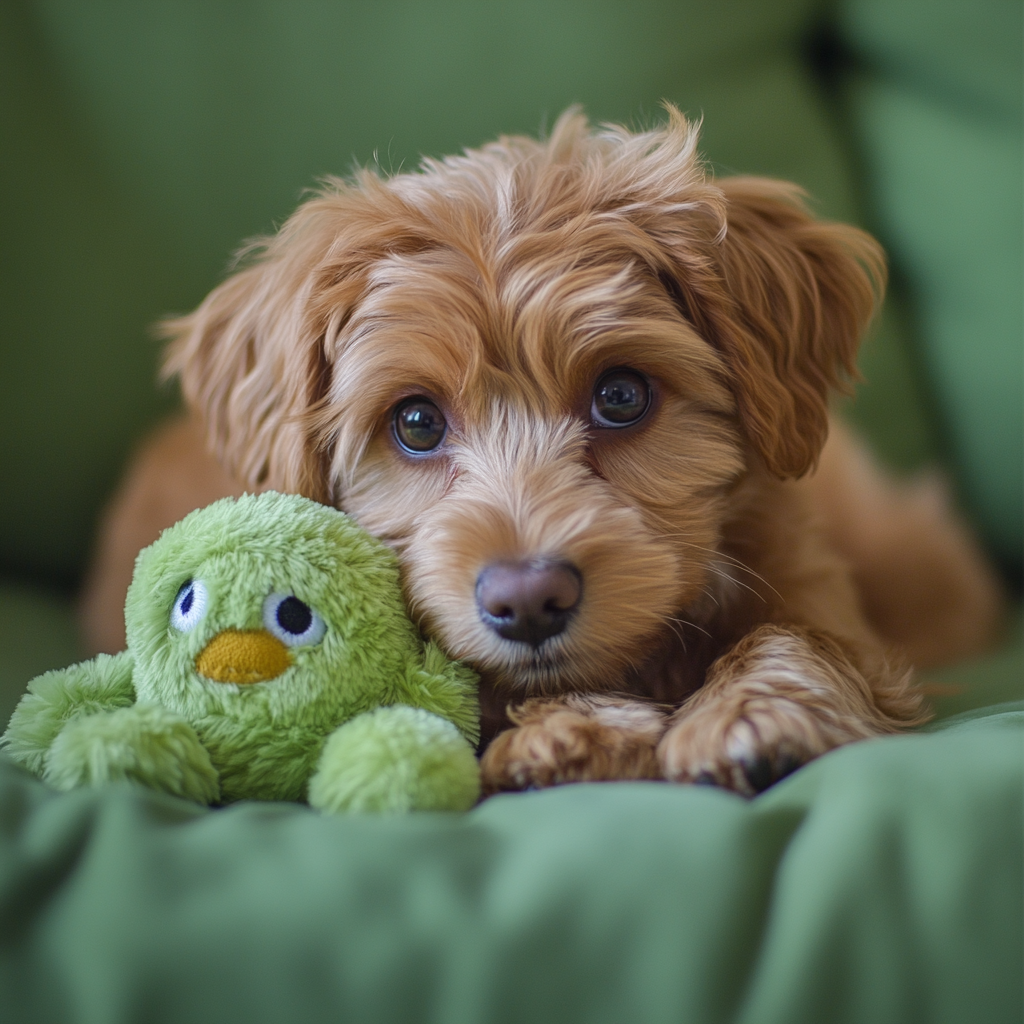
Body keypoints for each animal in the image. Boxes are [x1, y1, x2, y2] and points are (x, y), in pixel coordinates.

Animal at [81, 112, 999, 798]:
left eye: (622, 395)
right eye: (416, 422)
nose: (527, 602)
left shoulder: (819, 589)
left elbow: (802, 634)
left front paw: (755, 712)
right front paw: (571, 729)